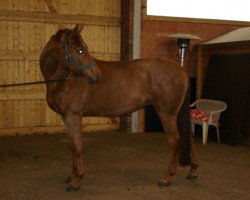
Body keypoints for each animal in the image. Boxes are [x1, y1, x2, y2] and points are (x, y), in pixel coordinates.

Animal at [40, 24, 198, 191]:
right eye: (80, 50)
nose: (98, 76)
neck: (63, 79)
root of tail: (181, 70)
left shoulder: (74, 115)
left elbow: (77, 146)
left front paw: (76, 180)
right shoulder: (66, 117)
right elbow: (72, 146)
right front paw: (72, 175)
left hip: (167, 114)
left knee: (175, 140)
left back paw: (167, 178)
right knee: (189, 137)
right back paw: (193, 171)